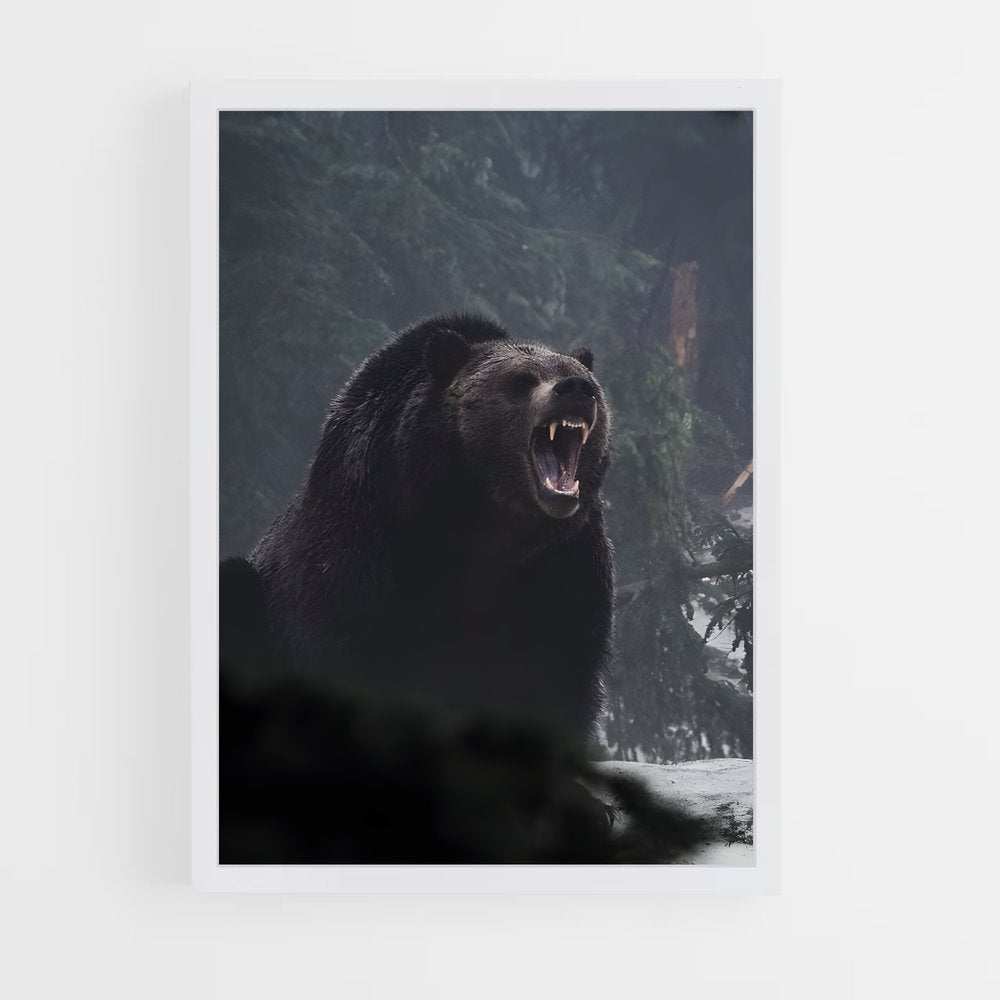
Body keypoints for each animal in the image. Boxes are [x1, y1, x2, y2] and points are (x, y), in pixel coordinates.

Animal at [246, 314, 614, 743]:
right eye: (521, 380)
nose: (576, 390)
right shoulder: (363, 534)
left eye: (582, 377)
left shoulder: (566, 561)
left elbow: (557, 673)